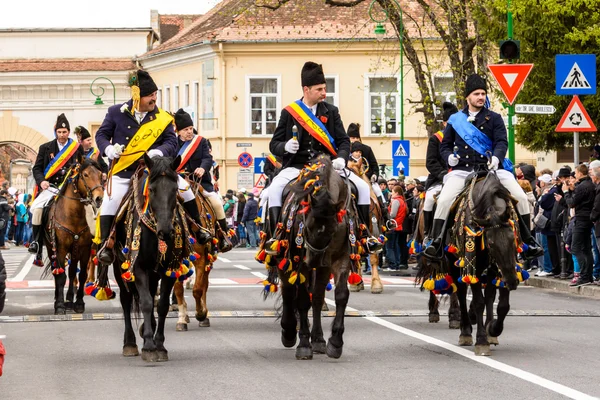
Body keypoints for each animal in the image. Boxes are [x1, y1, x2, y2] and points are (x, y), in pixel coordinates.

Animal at [43, 156, 103, 316]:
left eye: (101, 175)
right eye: (85, 175)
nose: (99, 198)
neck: (74, 216)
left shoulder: (84, 248)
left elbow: (81, 275)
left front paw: (79, 303)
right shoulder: (61, 248)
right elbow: (61, 276)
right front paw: (59, 305)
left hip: (75, 250)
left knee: (71, 272)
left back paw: (70, 300)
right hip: (51, 248)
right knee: (58, 271)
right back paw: (60, 300)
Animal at [102, 155, 188, 364]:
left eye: (175, 190)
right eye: (151, 189)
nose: (165, 231)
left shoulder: (168, 269)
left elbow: (162, 304)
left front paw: (160, 345)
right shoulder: (138, 266)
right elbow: (147, 303)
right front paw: (149, 346)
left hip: (153, 272)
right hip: (120, 267)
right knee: (127, 301)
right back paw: (130, 343)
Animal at [258, 155, 356, 360]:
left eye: (333, 230)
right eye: (308, 226)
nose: (314, 261)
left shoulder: (338, 259)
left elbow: (340, 295)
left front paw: (335, 342)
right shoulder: (299, 262)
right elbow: (302, 300)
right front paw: (303, 344)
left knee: (316, 297)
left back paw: (318, 339)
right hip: (284, 258)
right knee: (288, 293)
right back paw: (288, 331)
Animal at [418, 172, 520, 356]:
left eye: (513, 240)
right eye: (491, 244)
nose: (512, 282)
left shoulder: (500, 267)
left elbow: (502, 304)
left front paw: (493, 329)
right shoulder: (474, 266)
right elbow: (479, 302)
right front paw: (481, 340)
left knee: (484, 295)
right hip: (452, 262)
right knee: (460, 292)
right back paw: (464, 329)